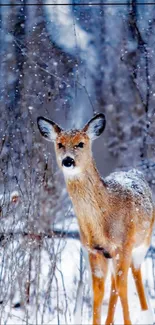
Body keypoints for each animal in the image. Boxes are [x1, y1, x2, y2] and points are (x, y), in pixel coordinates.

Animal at [37, 113, 154, 324]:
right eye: (60, 144)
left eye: (81, 143)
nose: (68, 160)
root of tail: (134, 171)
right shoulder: (93, 250)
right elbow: (98, 292)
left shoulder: (124, 244)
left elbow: (122, 288)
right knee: (115, 283)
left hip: (143, 242)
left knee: (134, 274)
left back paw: (145, 312)